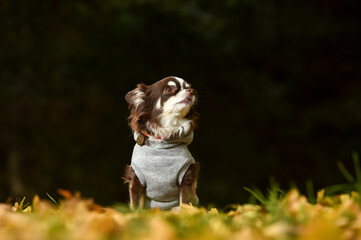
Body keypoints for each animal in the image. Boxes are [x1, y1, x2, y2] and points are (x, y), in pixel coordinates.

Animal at [124, 76, 200, 210]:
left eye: (187, 87)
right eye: (168, 89)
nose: (192, 91)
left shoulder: (187, 175)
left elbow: (185, 203)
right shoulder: (136, 178)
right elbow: (136, 205)